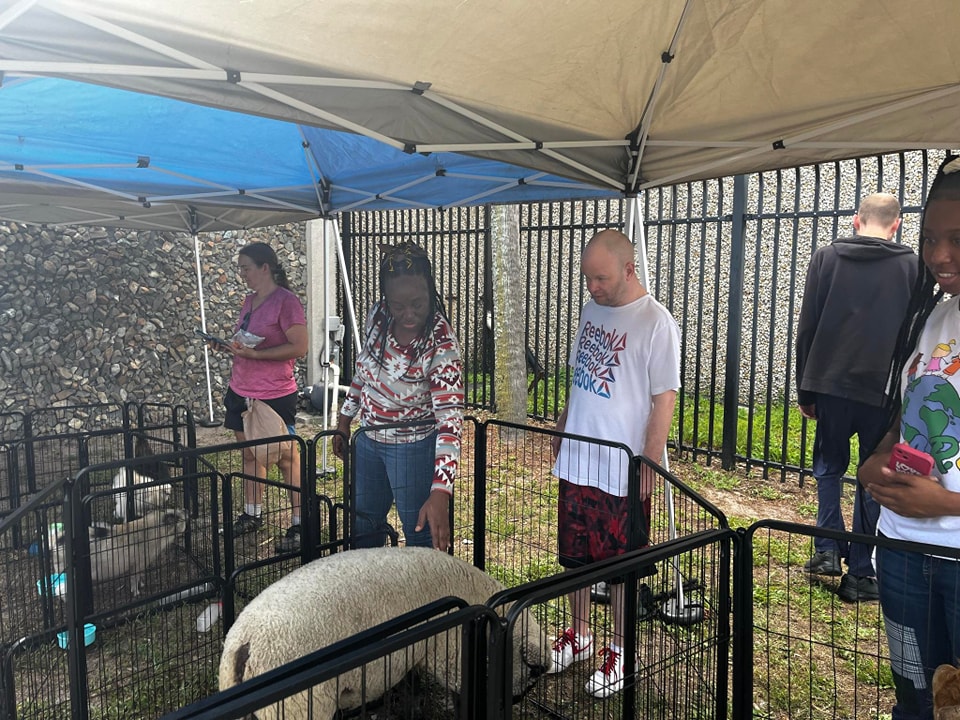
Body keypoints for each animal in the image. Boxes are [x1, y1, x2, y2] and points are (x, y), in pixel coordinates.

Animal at [218, 544, 548, 720]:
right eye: (533, 672)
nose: (514, 703)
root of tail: (246, 644)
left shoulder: (414, 652)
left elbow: (413, 687)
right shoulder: (446, 653)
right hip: (297, 707)